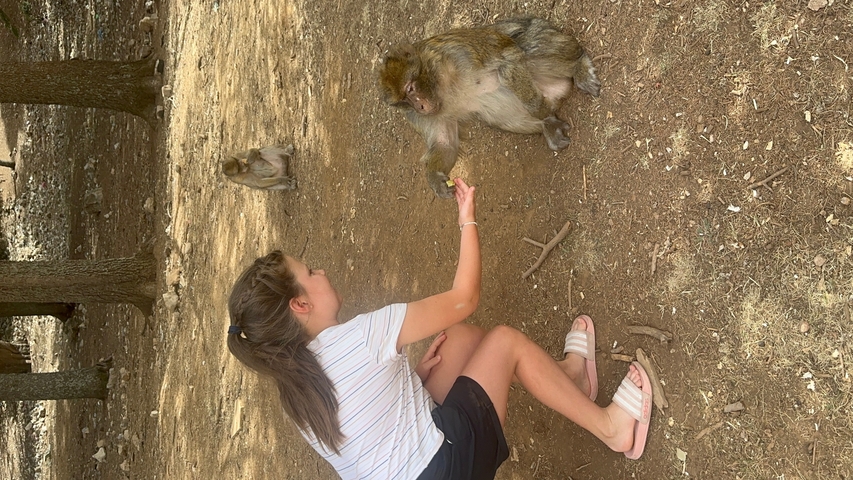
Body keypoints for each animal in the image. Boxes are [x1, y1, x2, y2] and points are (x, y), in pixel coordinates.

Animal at [378, 17, 600, 198]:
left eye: (410, 88)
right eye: (404, 101)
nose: (419, 106)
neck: (438, 84)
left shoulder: (456, 51)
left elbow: (507, 57)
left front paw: (540, 110)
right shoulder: (417, 117)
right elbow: (444, 143)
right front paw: (435, 180)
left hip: (545, 38)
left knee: (524, 48)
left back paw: (578, 65)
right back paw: (549, 125)